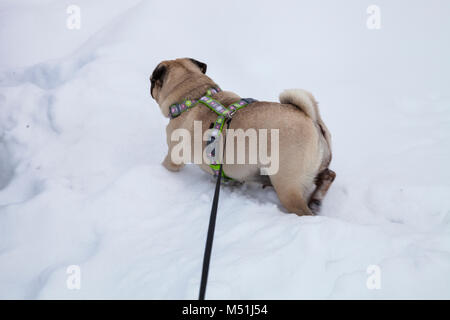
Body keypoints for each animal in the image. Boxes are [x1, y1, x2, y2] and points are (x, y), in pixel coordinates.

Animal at [150, 58, 334, 216]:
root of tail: (310, 118)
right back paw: (316, 200)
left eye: (152, 80)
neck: (195, 94)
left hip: (287, 186)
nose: (150, 82)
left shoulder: (173, 157)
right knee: (328, 175)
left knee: (303, 210)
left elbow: (167, 165)